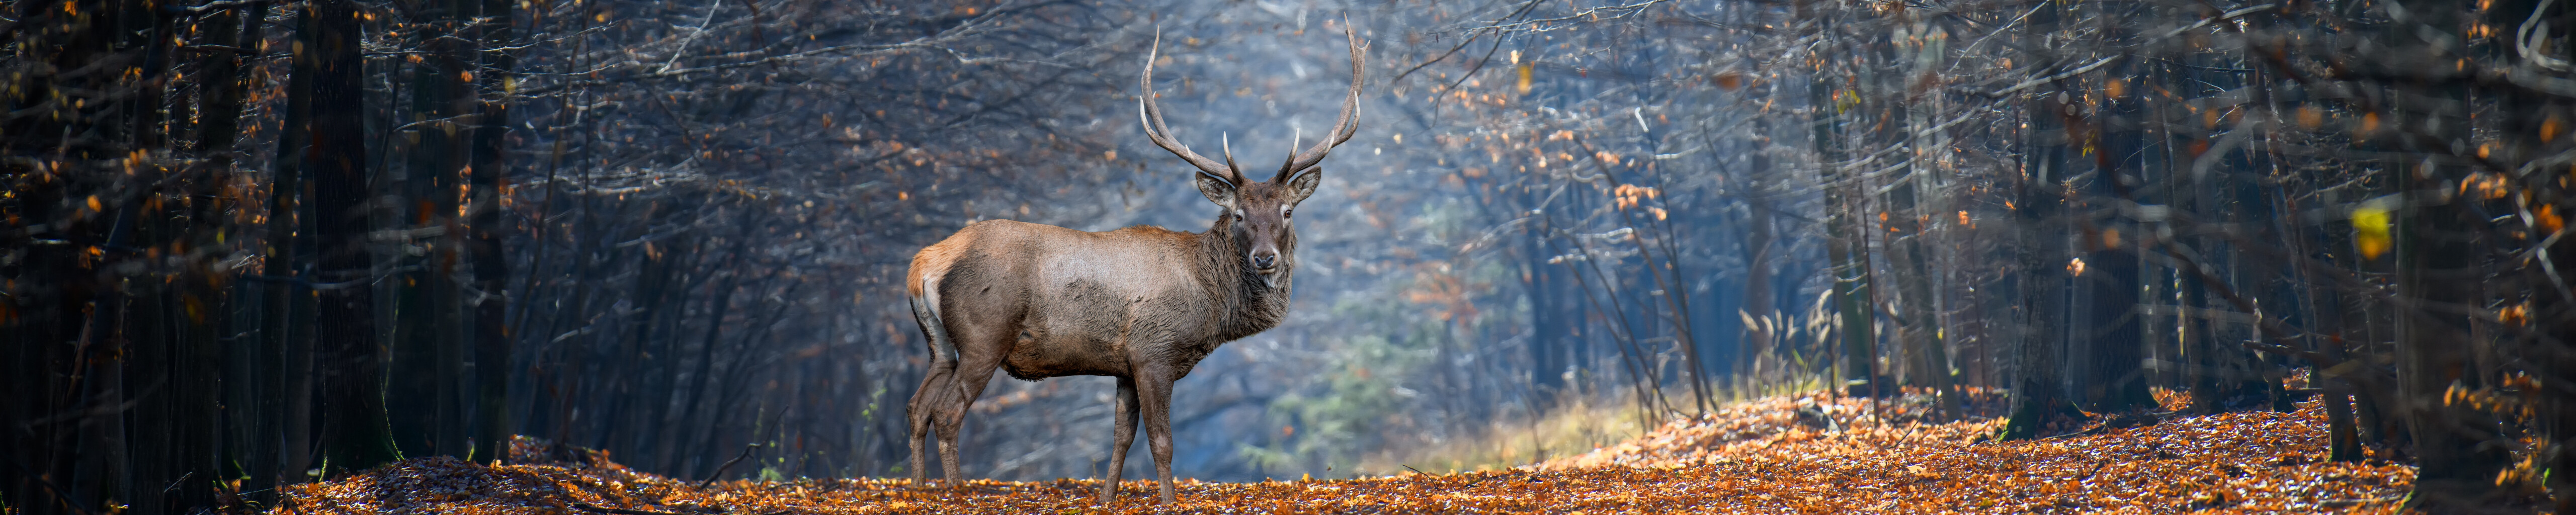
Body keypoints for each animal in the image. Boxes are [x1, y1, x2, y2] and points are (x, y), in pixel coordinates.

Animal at [901, 27, 1360, 502]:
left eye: (1287, 211)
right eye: (1238, 215)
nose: (1265, 257)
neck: (1210, 303)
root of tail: (924, 265)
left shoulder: (1123, 365)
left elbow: (1121, 437)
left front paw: (1106, 498)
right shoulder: (1154, 351)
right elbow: (1161, 441)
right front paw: (1170, 502)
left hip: (940, 344)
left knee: (917, 407)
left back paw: (917, 488)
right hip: (984, 334)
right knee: (947, 412)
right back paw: (954, 492)